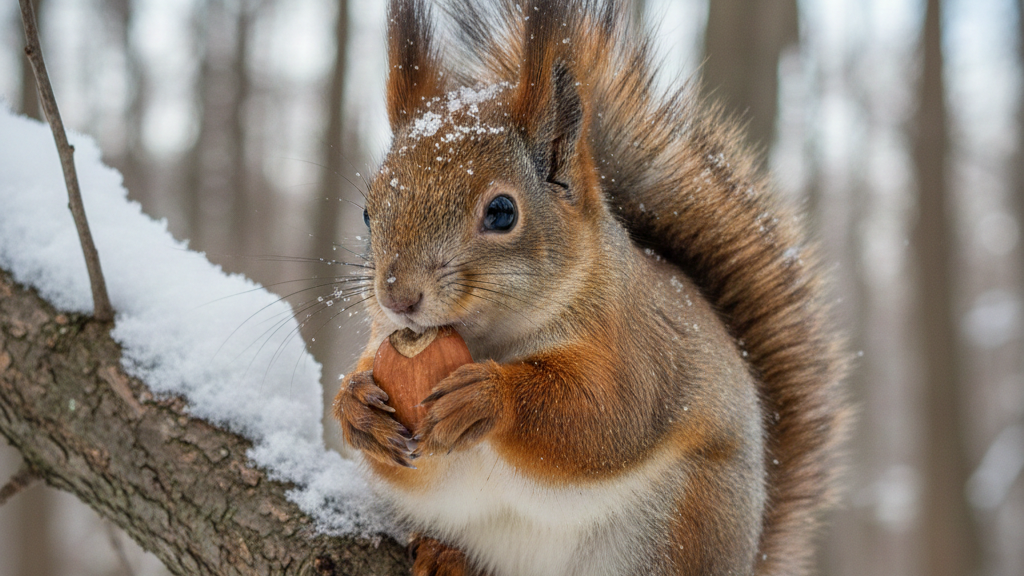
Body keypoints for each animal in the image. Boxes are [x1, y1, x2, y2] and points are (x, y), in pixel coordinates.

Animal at [333, 1, 849, 575]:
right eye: (367, 212)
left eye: (502, 212)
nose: (397, 298)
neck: (490, 340)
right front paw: (355, 406)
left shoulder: (639, 346)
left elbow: (605, 416)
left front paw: (490, 396)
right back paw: (444, 554)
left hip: (684, 525)